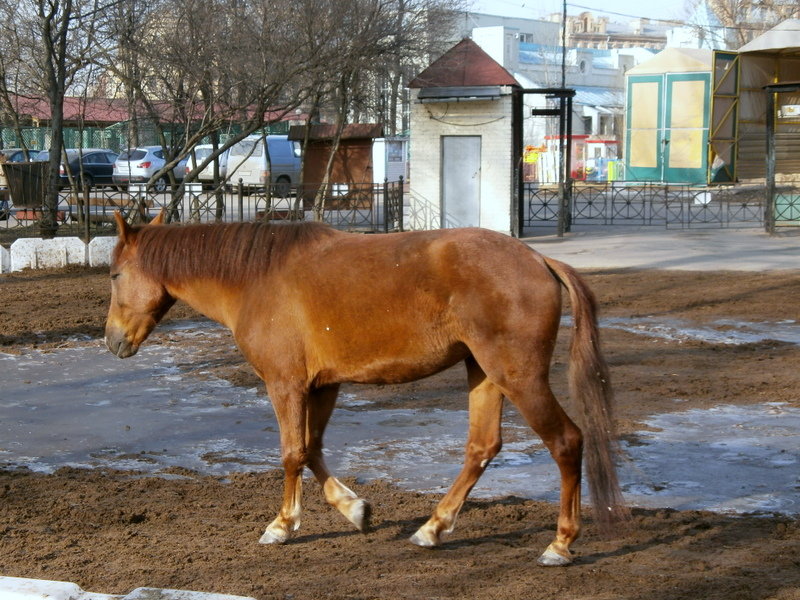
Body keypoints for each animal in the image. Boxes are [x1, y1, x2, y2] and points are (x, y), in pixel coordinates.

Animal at [104, 212, 624, 568]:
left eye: (114, 275)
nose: (111, 341)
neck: (256, 279)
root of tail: (538, 259)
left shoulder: (286, 385)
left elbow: (292, 453)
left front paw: (282, 526)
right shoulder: (323, 386)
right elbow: (312, 449)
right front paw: (355, 510)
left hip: (518, 377)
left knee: (566, 442)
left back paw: (560, 543)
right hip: (484, 373)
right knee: (482, 447)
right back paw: (433, 528)